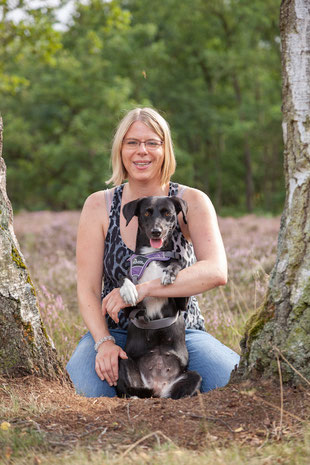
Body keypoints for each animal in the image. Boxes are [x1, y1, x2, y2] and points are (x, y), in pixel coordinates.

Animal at [115, 196, 201, 398]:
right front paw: (128, 290)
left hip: (193, 376)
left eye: (167, 213)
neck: (152, 256)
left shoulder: (182, 301)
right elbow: (123, 279)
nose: (156, 231)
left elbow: (177, 265)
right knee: (131, 391)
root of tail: (157, 386)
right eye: (147, 213)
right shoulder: (129, 310)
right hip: (124, 361)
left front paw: (169, 273)